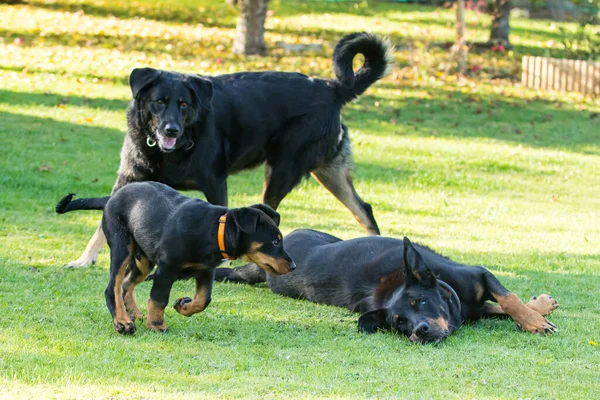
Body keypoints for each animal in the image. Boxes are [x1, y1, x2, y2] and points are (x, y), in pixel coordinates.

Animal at [55, 182, 294, 334]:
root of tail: (112, 197)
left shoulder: (206, 270)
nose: (293, 266)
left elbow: (203, 300)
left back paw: (134, 314)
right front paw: (156, 325)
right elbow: (159, 298)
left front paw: (183, 306)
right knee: (112, 287)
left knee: (125, 284)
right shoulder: (167, 267)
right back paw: (123, 322)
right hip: (122, 245)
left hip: (143, 260)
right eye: (275, 241)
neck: (213, 231)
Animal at [68, 32, 394, 268]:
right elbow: (102, 224)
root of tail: (332, 88)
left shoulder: (215, 183)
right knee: (363, 210)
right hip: (326, 171)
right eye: (159, 101)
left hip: (283, 170)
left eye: (183, 104)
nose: (171, 130)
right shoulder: (128, 179)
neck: (171, 150)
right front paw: (85, 259)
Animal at [216, 230, 556, 342]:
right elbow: (502, 305)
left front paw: (535, 320)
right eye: (399, 322)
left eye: (421, 302)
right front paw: (536, 318)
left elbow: (509, 300)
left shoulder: (479, 275)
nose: (420, 330)